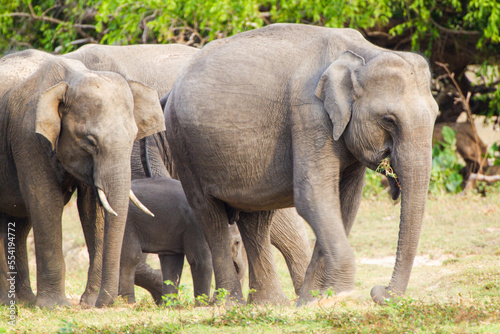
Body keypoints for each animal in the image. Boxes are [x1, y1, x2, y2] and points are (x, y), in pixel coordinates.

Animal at [0, 49, 164, 308]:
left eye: (133, 137)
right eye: (90, 141)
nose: (104, 304)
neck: (71, 79)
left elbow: (92, 209)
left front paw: (89, 302)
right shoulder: (27, 137)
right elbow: (45, 202)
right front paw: (55, 306)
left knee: (19, 224)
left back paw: (23, 300)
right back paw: (10, 302)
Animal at [121, 177, 246, 306]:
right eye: (237, 242)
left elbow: (172, 262)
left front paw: (170, 305)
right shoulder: (196, 226)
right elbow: (201, 261)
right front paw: (202, 305)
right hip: (128, 223)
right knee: (130, 257)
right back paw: (128, 302)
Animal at [167, 23, 438, 306]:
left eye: (436, 115)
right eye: (388, 120)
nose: (379, 291)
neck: (363, 53)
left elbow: (345, 205)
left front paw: (312, 300)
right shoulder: (309, 113)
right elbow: (314, 197)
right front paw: (339, 296)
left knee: (255, 219)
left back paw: (270, 304)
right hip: (182, 144)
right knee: (210, 215)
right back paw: (228, 304)